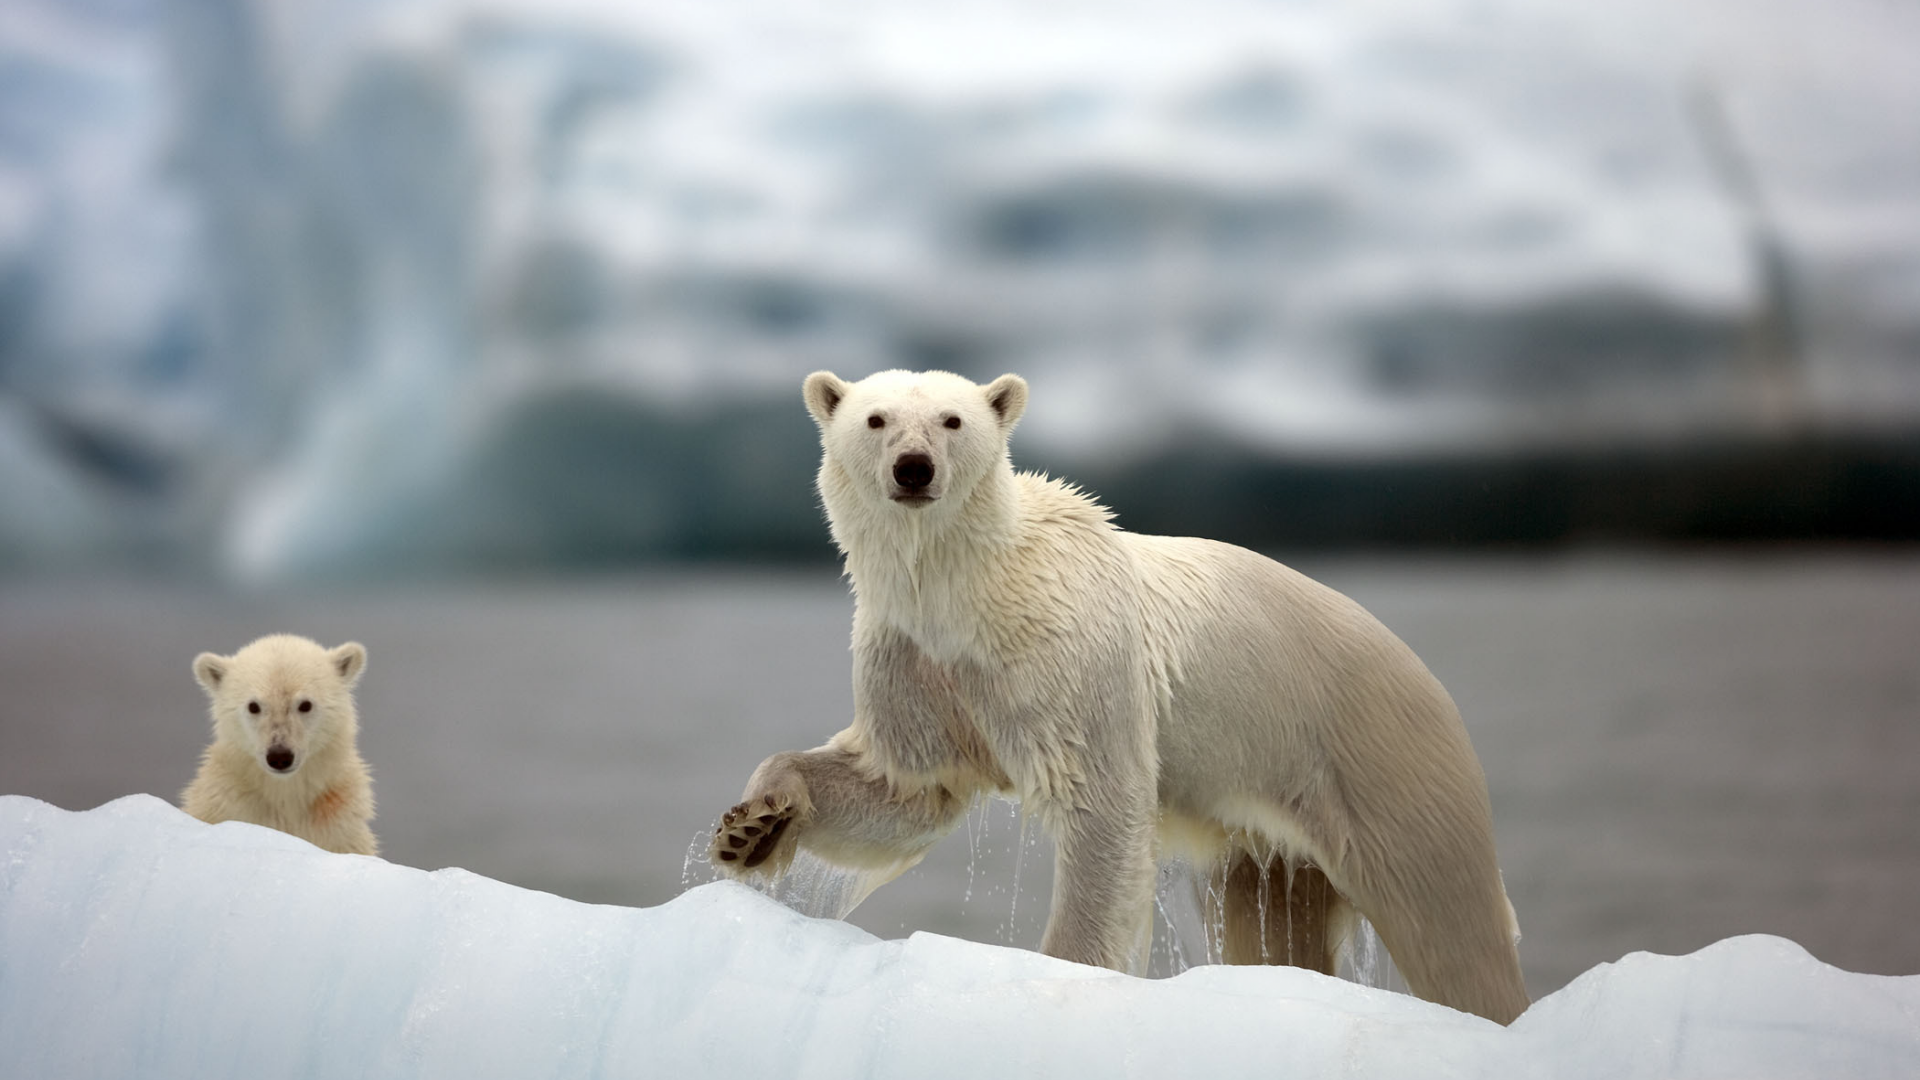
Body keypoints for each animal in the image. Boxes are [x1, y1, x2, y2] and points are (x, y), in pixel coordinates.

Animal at [185, 630, 380, 849]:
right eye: (253, 706)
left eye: (305, 704)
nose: (279, 757)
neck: (285, 794)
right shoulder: (228, 806)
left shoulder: (338, 825)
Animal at [706, 367, 1528, 1014]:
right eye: (875, 418)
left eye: (952, 419)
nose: (913, 467)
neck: (968, 593)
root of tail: (1423, 674)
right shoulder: (914, 661)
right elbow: (906, 788)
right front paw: (753, 827)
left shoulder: (1068, 657)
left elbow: (1099, 804)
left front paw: (1062, 972)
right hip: (1272, 834)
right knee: (1272, 923)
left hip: (1381, 760)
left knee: (1449, 924)